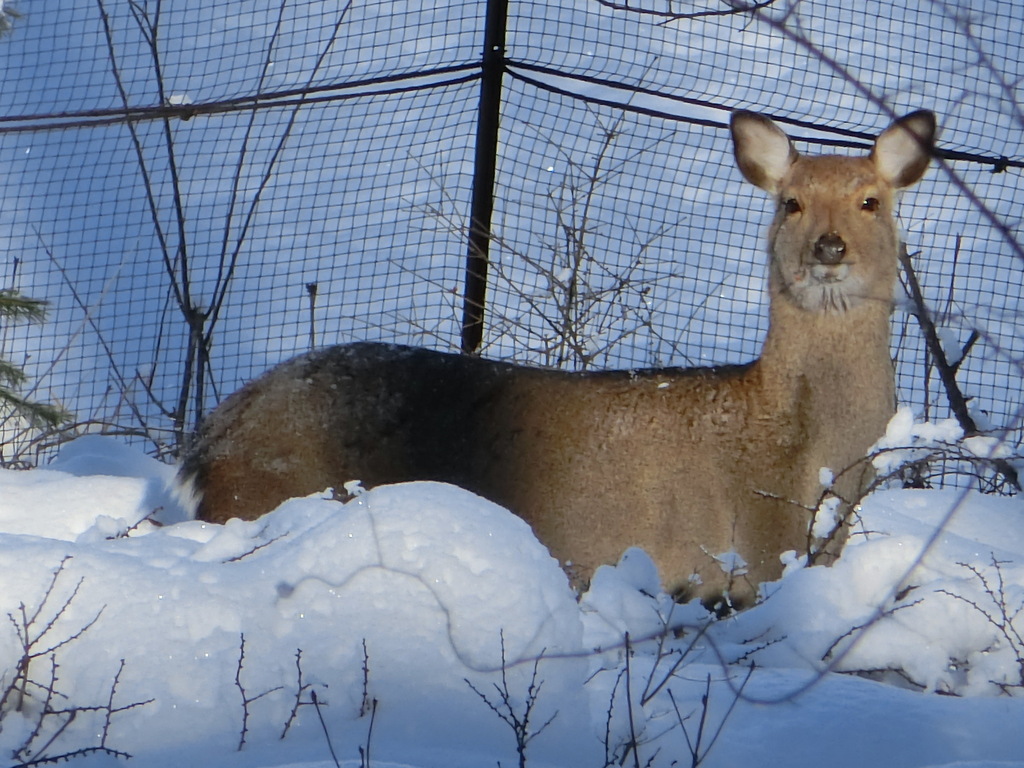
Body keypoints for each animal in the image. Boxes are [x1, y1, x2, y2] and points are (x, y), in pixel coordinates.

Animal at [179, 110, 936, 609]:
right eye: (791, 203)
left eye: (872, 200)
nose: (829, 247)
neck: (820, 454)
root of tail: (208, 441)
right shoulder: (756, 543)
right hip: (272, 489)